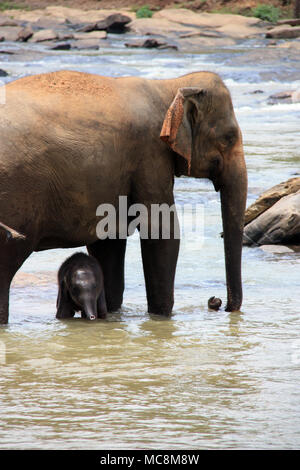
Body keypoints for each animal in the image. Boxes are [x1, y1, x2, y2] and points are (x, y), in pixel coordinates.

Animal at [0, 70, 246, 324]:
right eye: (228, 137)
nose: (217, 302)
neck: (169, 86)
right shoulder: (151, 154)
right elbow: (161, 230)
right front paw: (161, 317)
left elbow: (108, 240)